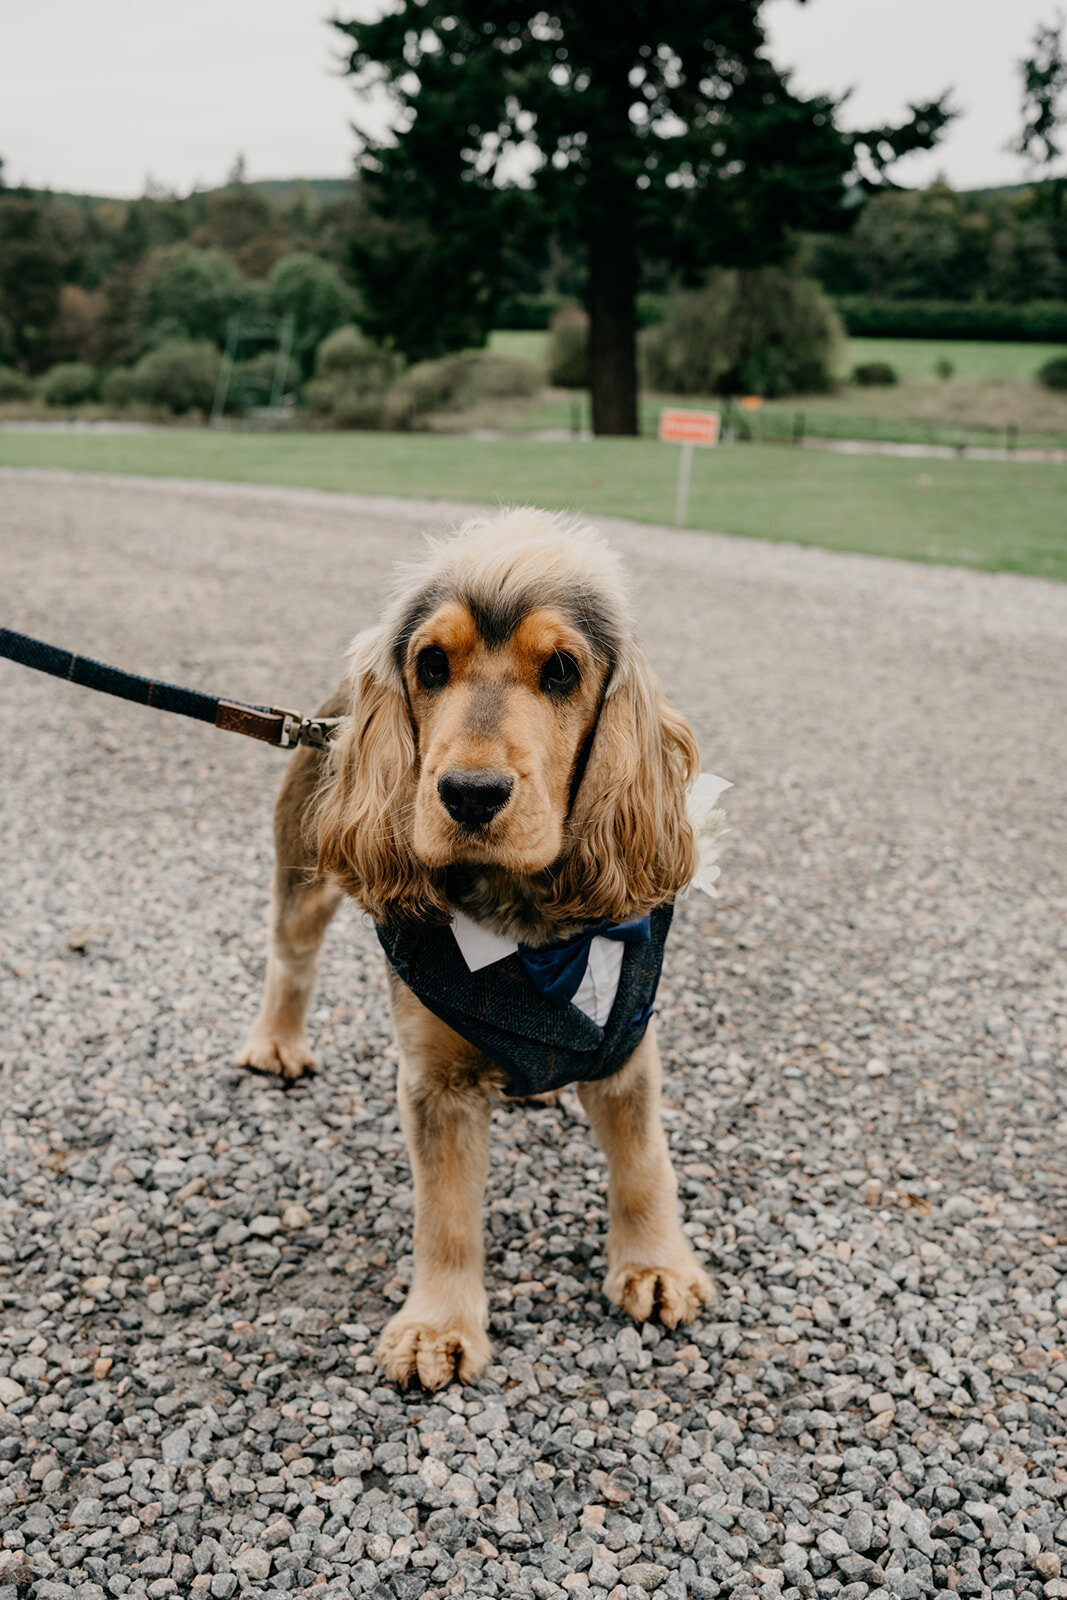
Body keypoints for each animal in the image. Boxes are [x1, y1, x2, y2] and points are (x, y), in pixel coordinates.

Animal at [238, 512, 713, 1388]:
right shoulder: (435, 1079)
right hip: (303, 872)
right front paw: (437, 1328)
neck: (524, 928)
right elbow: (447, 1212)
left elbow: (644, 1165)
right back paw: (276, 1044)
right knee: (291, 957)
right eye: (430, 664)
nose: (468, 794)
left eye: (561, 669)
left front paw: (656, 1267)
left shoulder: (624, 1041)